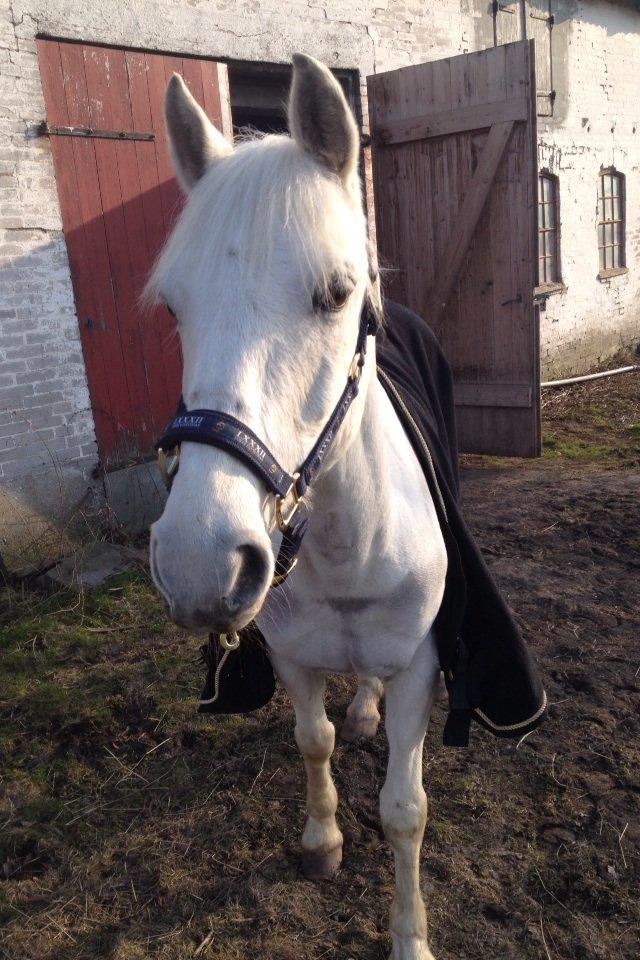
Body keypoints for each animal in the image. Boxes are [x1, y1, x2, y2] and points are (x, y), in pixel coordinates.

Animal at [147, 54, 449, 960]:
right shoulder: (290, 653)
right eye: (173, 306)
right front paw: (322, 843)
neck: (350, 545)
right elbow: (311, 740)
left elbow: (405, 810)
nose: (199, 562)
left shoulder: (421, 667)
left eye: (336, 293)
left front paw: (409, 935)